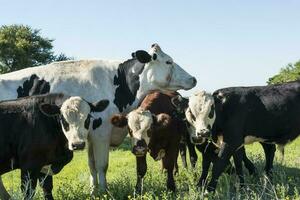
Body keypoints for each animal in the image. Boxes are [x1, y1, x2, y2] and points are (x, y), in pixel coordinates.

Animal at [0, 43, 197, 194]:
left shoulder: (89, 134)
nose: (193, 79)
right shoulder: (101, 132)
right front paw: (104, 191)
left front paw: (93, 190)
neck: (118, 82)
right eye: (168, 61)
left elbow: (92, 165)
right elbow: (102, 165)